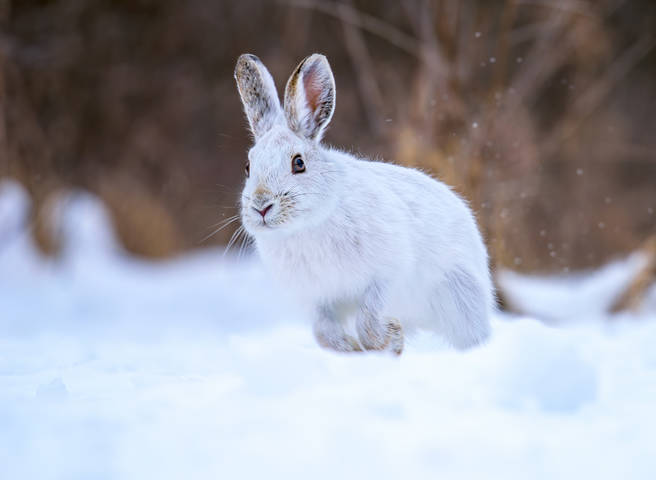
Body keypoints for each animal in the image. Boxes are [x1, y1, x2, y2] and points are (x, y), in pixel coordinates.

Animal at [234, 53, 494, 355]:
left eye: (298, 163)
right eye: (248, 167)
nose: (261, 207)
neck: (306, 226)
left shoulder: (387, 275)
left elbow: (368, 320)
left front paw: (392, 337)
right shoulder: (319, 299)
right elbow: (324, 334)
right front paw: (353, 349)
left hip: (461, 298)